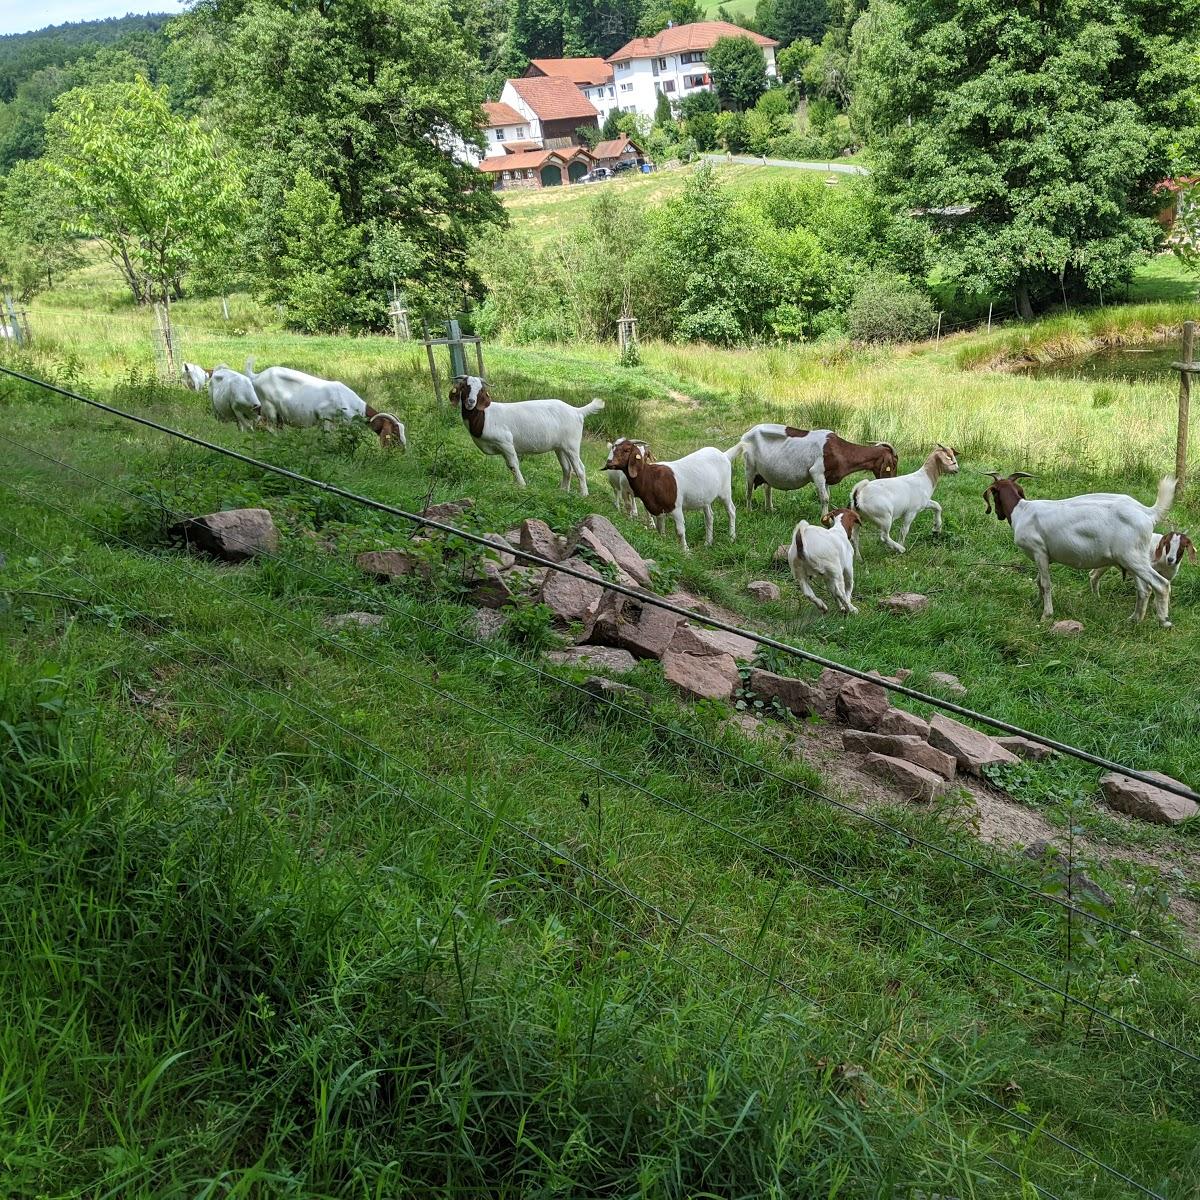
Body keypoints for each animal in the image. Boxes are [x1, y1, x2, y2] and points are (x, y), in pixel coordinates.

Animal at [244, 360, 408, 451]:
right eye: (394, 433)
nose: (402, 451)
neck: (350, 403)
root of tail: (256, 376)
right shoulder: (325, 417)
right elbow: (327, 439)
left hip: (274, 413)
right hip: (269, 408)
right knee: (268, 427)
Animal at [448, 369, 604, 492]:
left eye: (480, 390)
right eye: (464, 387)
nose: (471, 402)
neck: (485, 416)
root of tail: (577, 411)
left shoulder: (505, 442)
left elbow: (513, 465)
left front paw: (522, 485)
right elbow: (510, 466)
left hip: (572, 444)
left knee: (580, 469)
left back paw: (583, 495)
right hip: (560, 447)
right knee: (567, 468)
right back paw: (563, 492)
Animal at [604, 441, 734, 552]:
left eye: (626, 450)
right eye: (613, 448)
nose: (609, 463)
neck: (651, 477)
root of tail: (724, 455)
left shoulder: (676, 507)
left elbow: (680, 531)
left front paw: (685, 552)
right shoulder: (657, 510)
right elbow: (660, 529)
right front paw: (664, 544)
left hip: (725, 490)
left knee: (731, 511)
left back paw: (731, 537)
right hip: (705, 498)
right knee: (709, 516)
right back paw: (708, 543)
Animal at [988, 470, 1176, 628]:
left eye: (994, 494)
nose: (998, 514)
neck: (1022, 511)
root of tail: (1147, 513)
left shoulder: (1038, 550)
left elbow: (1046, 583)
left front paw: (1046, 615)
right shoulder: (1044, 556)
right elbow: (1039, 582)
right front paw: (1037, 603)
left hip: (1132, 557)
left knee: (1161, 584)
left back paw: (1164, 621)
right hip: (1134, 558)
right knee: (1145, 590)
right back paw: (1134, 620)